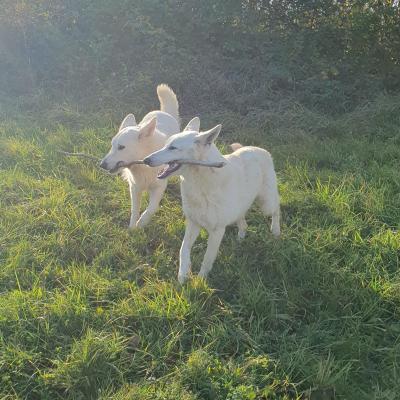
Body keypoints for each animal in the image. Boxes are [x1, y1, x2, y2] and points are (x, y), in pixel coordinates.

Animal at [99, 84, 180, 228]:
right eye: (112, 145)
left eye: (121, 147)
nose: (101, 165)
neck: (144, 164)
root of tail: (163, 112)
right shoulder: (135, 188)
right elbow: (134, 209)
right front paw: (132, 228)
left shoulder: (159, 187)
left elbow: (151, 209)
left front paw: (141, 223)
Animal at [145, 117, 282, 282]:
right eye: (166, 145)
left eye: (172, 148)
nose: (145, 160)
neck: (200, 183)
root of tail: (260, 149)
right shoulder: (193, 223)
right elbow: (183, 249)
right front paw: (183, 275)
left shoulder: (217, 231)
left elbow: (207, 259)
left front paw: (200, 281)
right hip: (240, 209)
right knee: (244, 223)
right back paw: (240, 239)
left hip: (266, 204)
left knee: (277, 208)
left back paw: (275, 231)